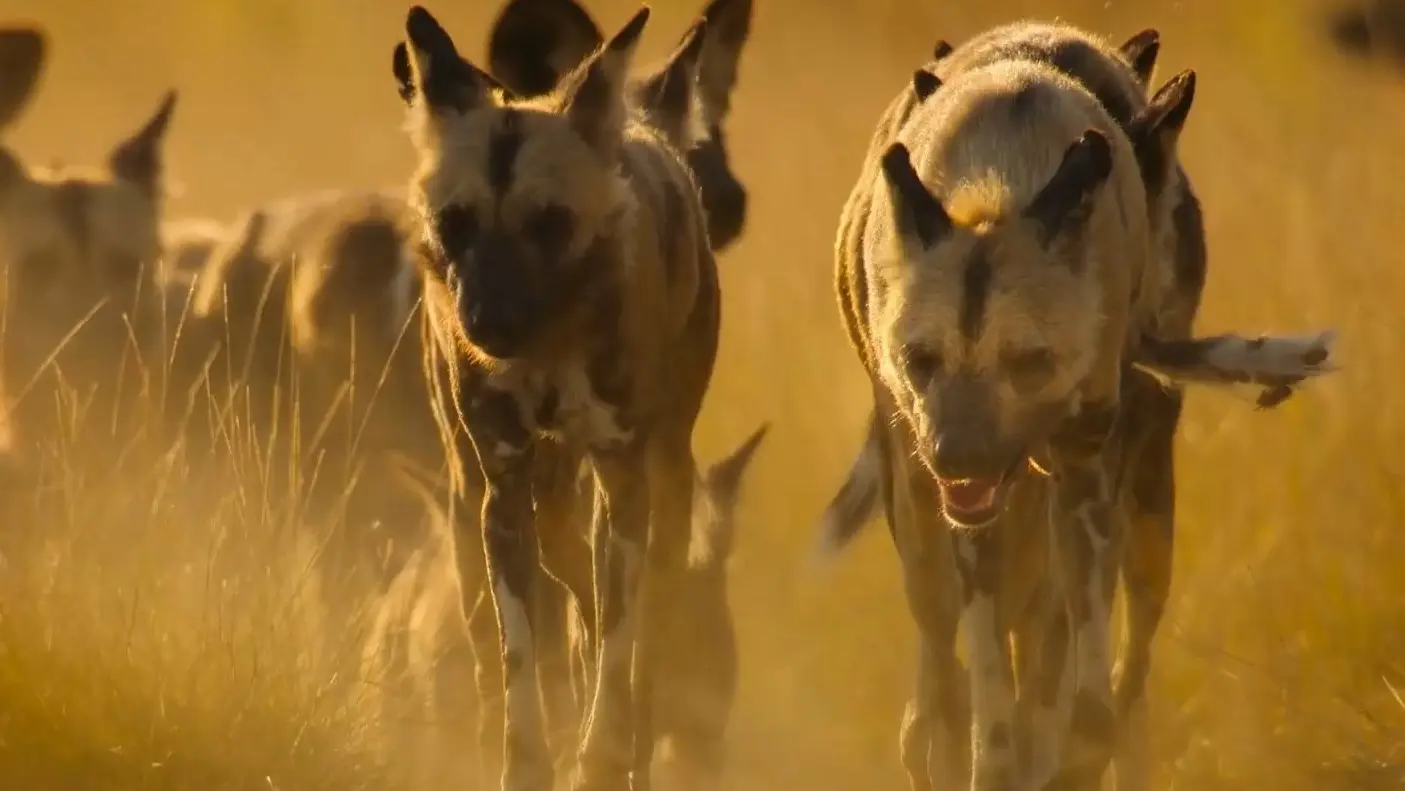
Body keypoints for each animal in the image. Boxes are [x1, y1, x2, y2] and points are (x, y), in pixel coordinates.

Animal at [396, 6, 724, 791]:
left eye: (549, 222)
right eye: (455, 222)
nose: (488, 321)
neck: (548, 345)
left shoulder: (625, 480)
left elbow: (620, 647)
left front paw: (603, 756)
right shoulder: (504, 489)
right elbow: (518, 659)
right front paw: (524, 760)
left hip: (661, 482)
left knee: (637, 637)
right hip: (479, 497)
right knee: (548, 591)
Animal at [820, 23, 1337, 791]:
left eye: (1029, 360)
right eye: (920, 358)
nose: (956, 457)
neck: (998, 183)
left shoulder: (1084, 483)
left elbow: (1087, 718)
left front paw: (1073, 752)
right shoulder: (973, 525)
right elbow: (991, 731)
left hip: (1139, 524)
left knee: (1114, 676)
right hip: (925, 524)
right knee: (940, 692)